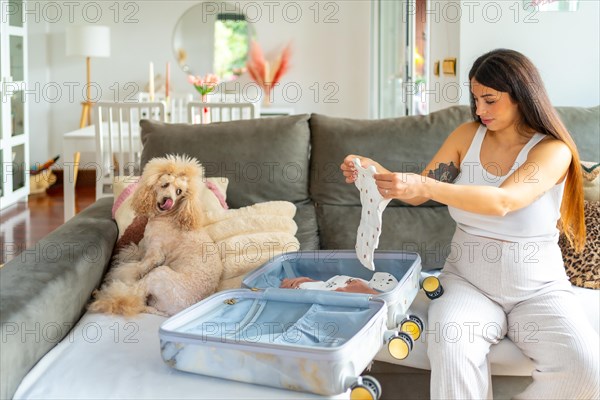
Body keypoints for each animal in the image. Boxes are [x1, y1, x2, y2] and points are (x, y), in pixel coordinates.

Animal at [88, 155, 221, 318]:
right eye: (165, 184)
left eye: (179, 192)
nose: (168, 200)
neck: (170, 217)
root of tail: (173, 312)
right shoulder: (146, 245)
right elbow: (135, 252)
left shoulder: (155, 255)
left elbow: (136, 267)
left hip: (159, 274)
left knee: (133, 294)